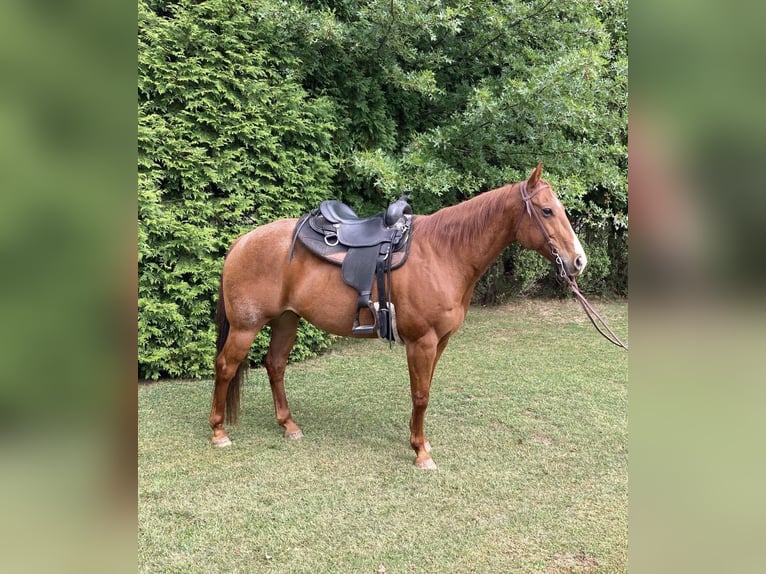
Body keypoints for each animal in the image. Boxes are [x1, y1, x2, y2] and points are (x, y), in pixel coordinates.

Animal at [210, 163, 587, 469]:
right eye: (547, 211)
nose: (578, 261)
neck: (443, 253)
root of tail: (241, 241)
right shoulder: (422, 342)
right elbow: (420, 395)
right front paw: (420, 452)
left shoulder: (440, 342)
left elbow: (425, 390)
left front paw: (420, 441)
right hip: (246, 327)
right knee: (226, 366)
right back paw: (218, 432)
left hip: (287, 320)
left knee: (275, 365)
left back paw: (288, 425)